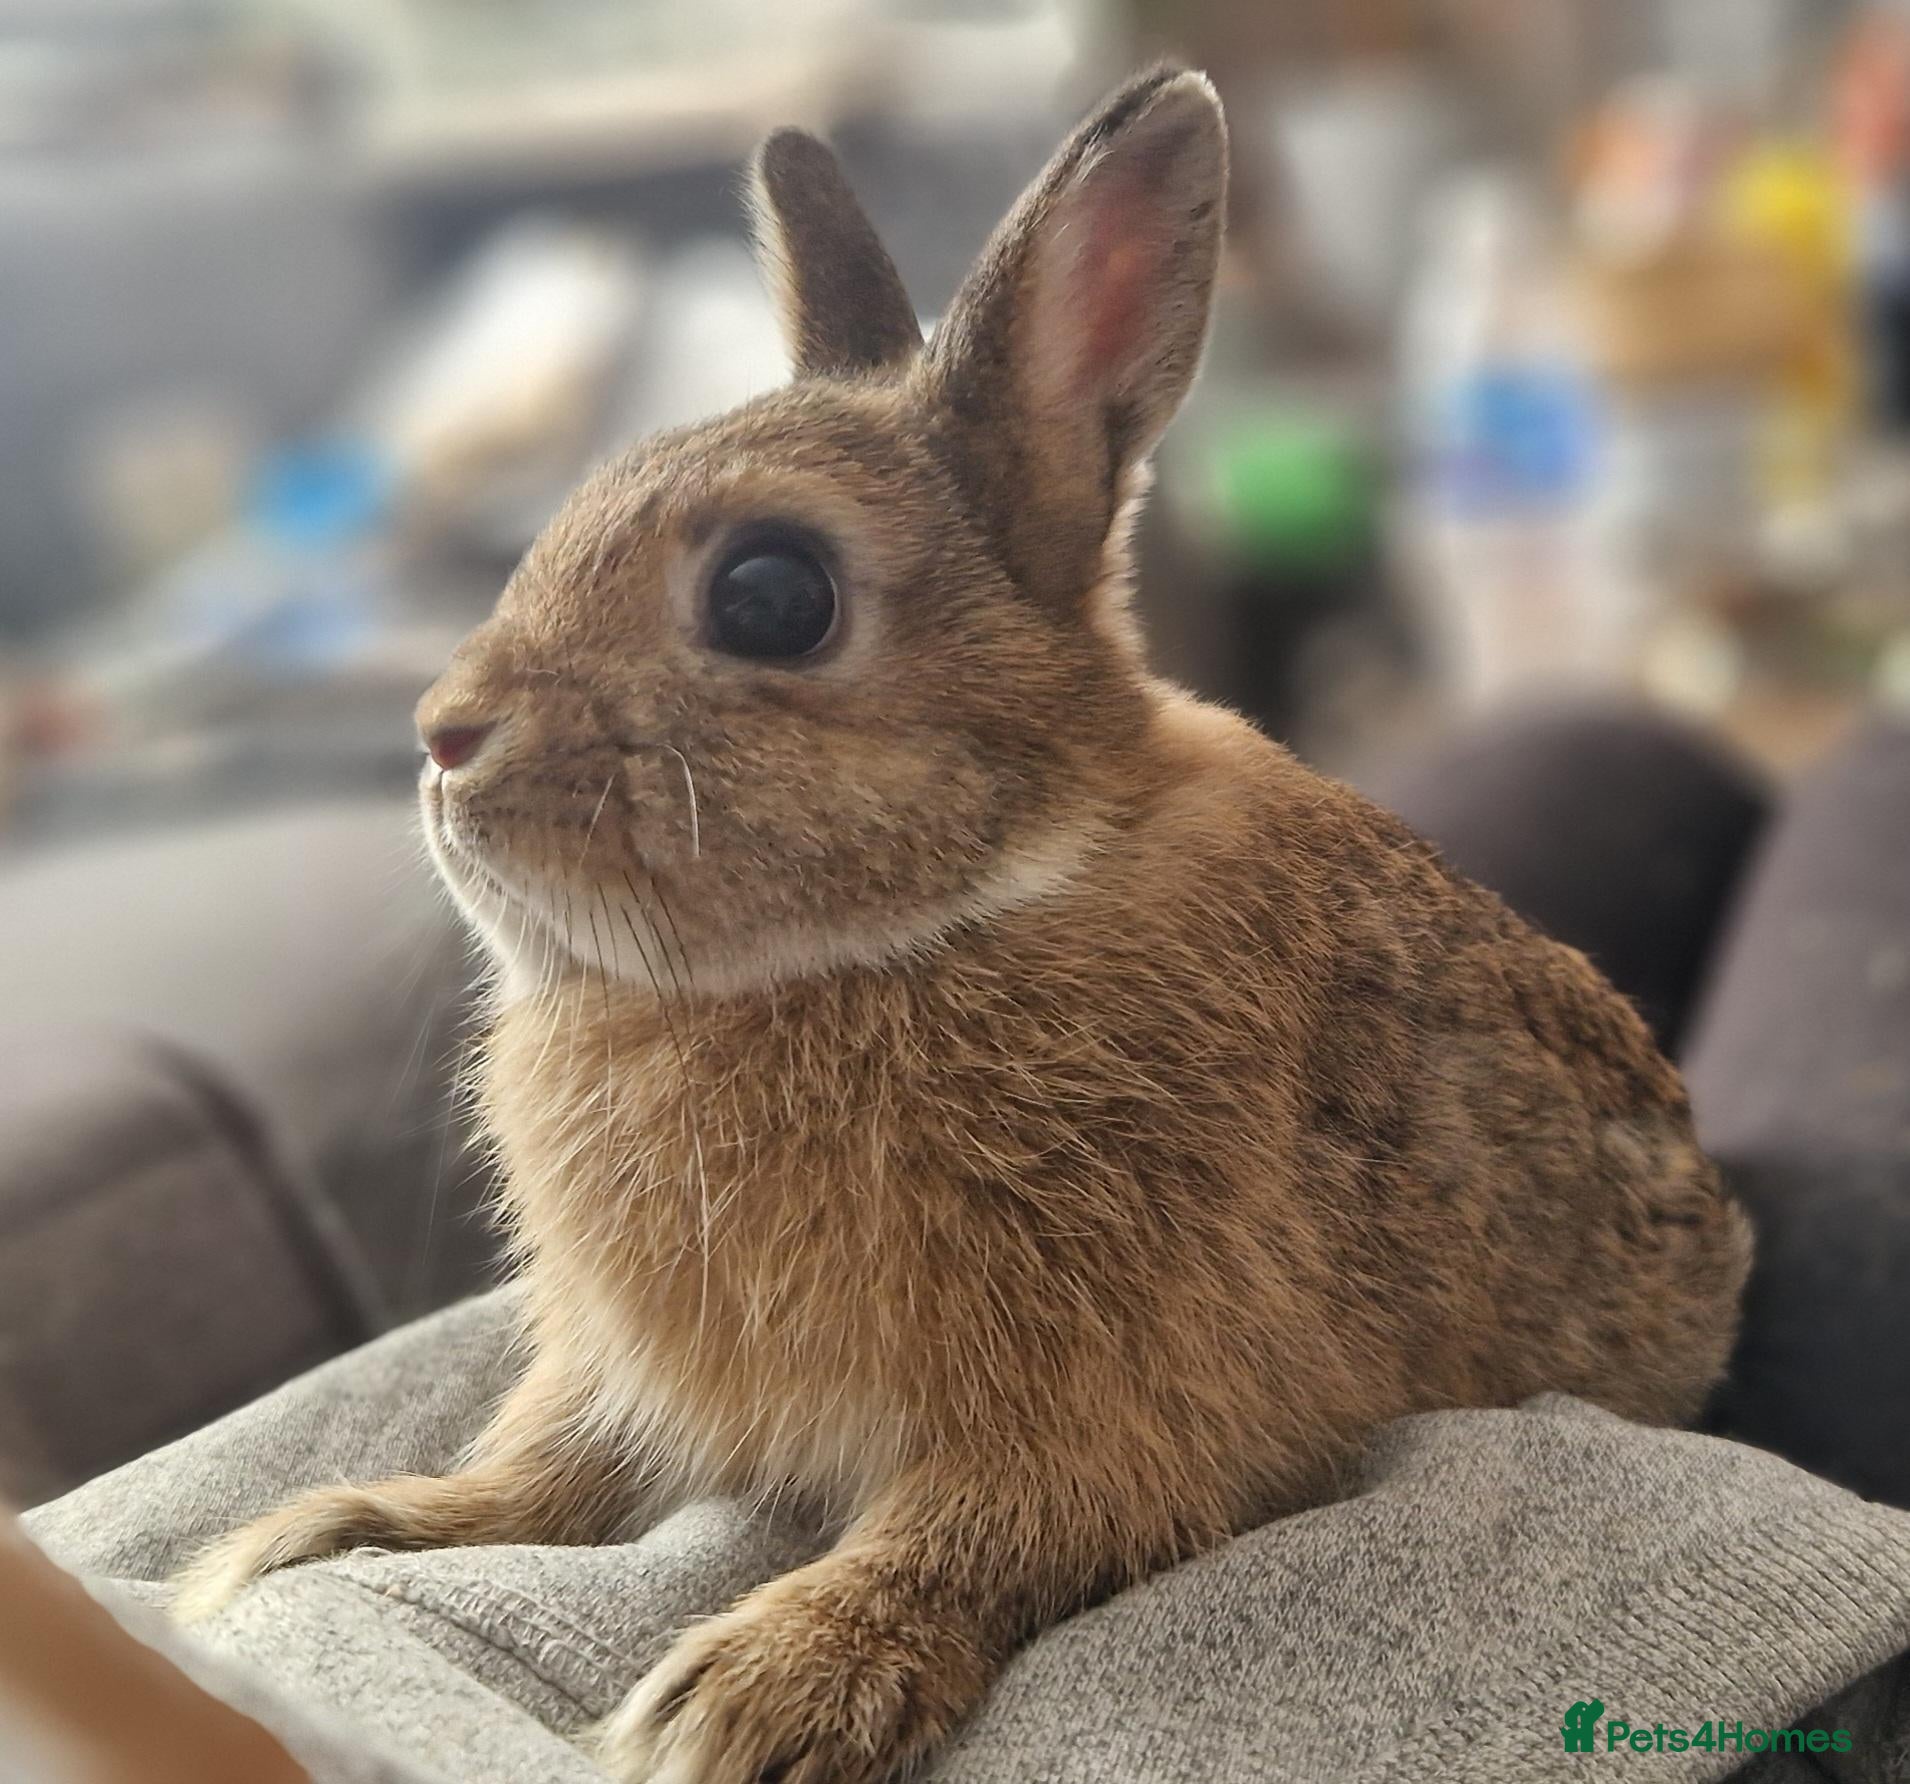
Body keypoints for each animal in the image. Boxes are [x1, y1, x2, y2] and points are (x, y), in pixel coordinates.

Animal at [175, 67, 1753, 1784]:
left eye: (771, 596)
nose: (444, 736)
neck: (955, 908)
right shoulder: (619, 1380)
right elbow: (542, 1477)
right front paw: (320, 1538)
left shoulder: (1120, 1391)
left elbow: (978, 1529)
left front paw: (751, 1696)